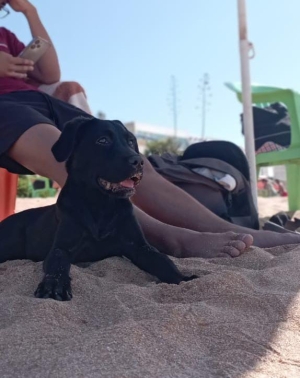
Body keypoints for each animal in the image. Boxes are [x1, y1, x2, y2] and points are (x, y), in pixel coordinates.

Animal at [0, 118, 197, 302]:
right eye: (103, 140)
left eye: (131, 141)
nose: (140, 161)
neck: (102, 204)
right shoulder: (62, 246)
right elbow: (58, 262)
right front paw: (54, 285)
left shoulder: (139, 246)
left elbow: (162, 260)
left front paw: (183, 279)